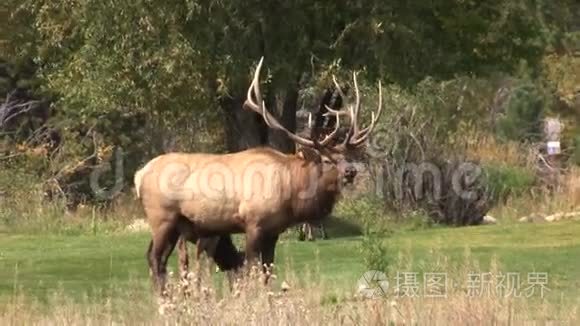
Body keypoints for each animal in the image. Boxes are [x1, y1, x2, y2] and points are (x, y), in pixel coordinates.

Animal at [134, 57, 382, 294]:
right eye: (327, 160)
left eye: (347, 155)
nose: (351, 171)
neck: (290, 191)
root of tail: (139, 174)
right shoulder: (253, 222)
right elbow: (251, 268)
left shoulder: (274, 230)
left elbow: (267, 271)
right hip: (162, 217)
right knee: (155, 258)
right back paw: (163, 299)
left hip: (177, 225)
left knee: (159, 258)